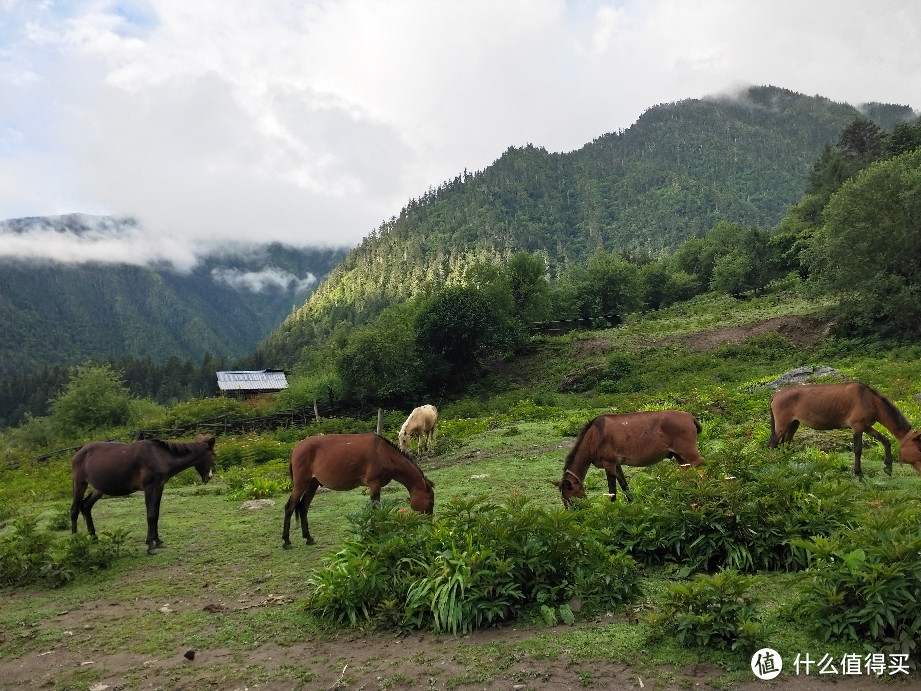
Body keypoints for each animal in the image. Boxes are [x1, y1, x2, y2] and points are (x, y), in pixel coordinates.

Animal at [70, 436, 216, 556]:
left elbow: (156, 514)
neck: (159, 456)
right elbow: (150, 515)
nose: (209, 477)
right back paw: (75, 541)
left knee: (86, 506)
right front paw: (151, 545)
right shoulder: (149, 488)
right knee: (74, 510)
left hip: (98, 489)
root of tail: (78, 452)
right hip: (80, 483)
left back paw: (94, 537)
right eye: (213, 456)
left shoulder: (159, 487)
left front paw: (158, 541)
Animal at [280, 432, 434, 552]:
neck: (384, 453)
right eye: (431, 502)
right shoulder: (374, 484)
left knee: (303, 507)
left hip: (313, 484)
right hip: (300, 484)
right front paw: (375, 533)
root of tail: (295, 449)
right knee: (290, 507)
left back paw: (308, 537)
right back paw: (286, 541)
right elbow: (374, 509)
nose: (430, 523)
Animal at [552, 408, 704, 506]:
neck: (594, 437)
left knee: (702, 470)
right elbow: (624, 486)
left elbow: (612, 491)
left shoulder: (609, 463)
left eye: (570, 499)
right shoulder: (616, 464)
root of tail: (690, 417)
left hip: (689, 453)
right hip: (680, 457)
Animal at [764, 382, 920, 478]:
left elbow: (886, 440)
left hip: (793, 424)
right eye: (918, 449)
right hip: (782, 425)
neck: (870, 400)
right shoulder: (857, 426)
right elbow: (858, 450)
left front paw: (888, 467)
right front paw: (858, 473)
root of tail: (775, 395)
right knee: (772, 445)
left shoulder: (866, 426)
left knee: (784, 445)